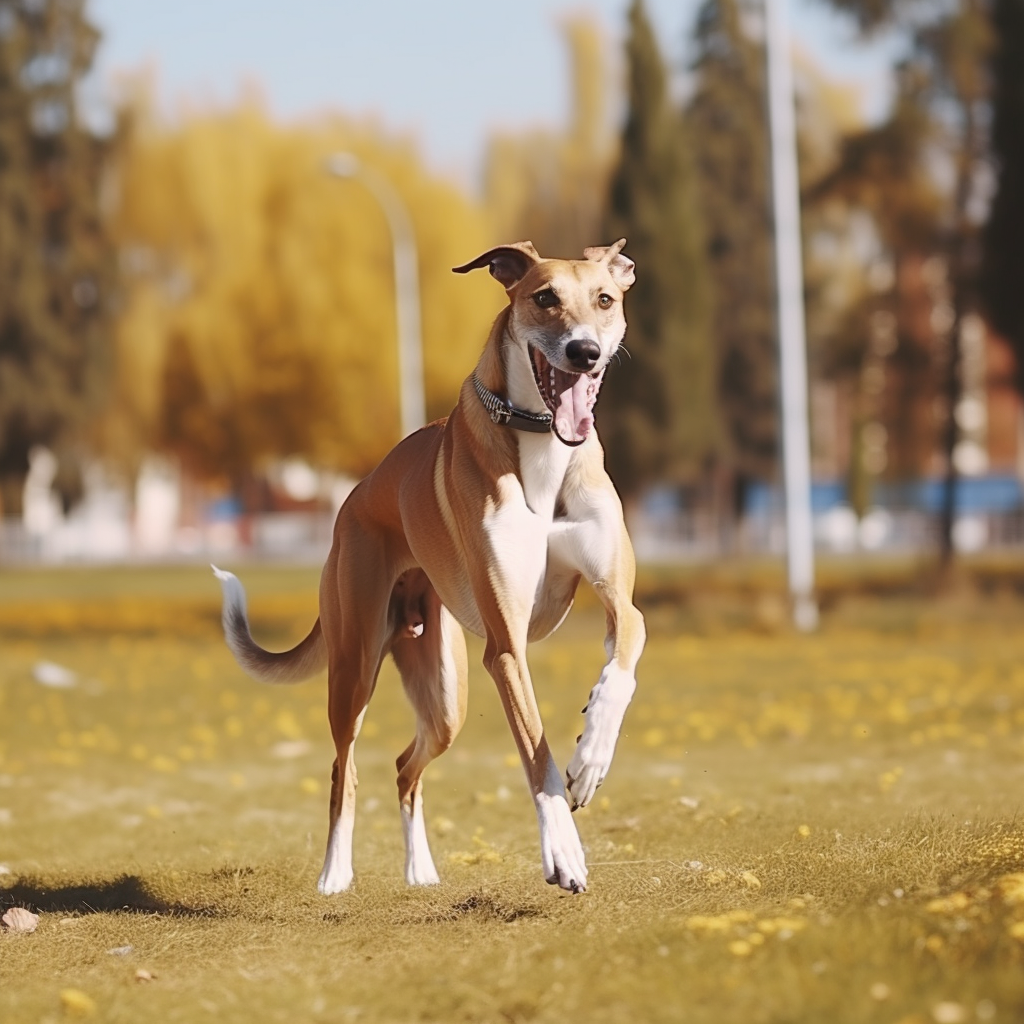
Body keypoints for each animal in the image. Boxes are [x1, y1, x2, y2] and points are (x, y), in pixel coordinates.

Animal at [211, 239, 643, 897]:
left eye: (605, 299)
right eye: (544, 297)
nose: (584, 352)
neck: (543, 448)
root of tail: (352, 501)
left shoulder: (618, 598)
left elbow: (624, 656)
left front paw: (592, 755)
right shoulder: (507, 647)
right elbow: (536, 754)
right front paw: (564, 852)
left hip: (444, 699)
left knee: (403, 767)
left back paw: (420, 870)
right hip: (354, 669)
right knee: (344, 770)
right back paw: (335, 874)